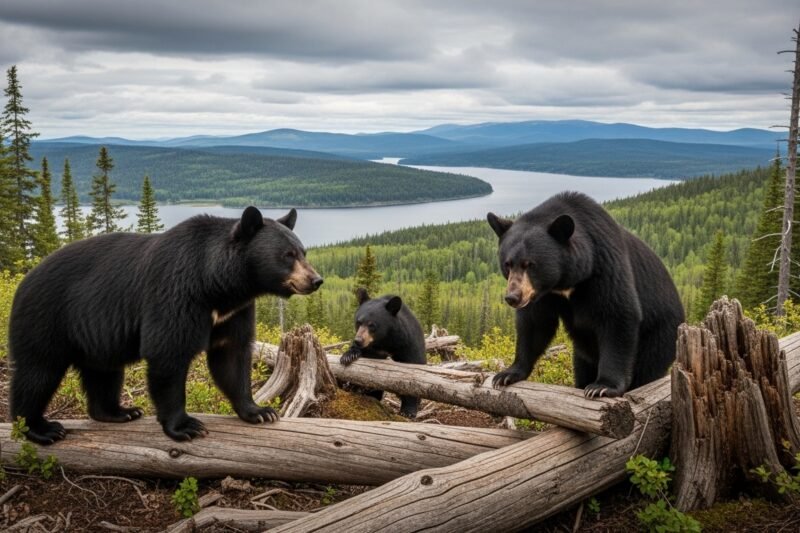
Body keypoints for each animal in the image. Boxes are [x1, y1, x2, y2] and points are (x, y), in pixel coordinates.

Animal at [9, 206, 323, 444]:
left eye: (303, 251)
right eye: (288, 255)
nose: (316, 279)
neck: (219, 286)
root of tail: (23, 281)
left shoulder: (235, 312)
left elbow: (231, 355)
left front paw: (259, 411)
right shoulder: (177, 293)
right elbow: (168, 353)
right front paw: (184, 426)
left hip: (96, 337)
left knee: (105, 372)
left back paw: (118, 412)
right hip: (45, 320)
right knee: (37, 373)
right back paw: (39, 428)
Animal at [339, 288, 427, 417]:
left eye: (372, 325)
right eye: (358, 322)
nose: (358, 340)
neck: (385, 341)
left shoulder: (408, 344)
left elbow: (414, 373)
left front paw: (408, 411)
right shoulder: (371, 349)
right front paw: (348, 356)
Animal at [486, 191, 684, 398]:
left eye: (530, 264)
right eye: (508, 264)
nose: (512, 297)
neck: (566, 281)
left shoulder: (605, 266)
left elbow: (618, 315)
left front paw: (603, 386)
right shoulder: (542, 295)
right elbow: (535, 324)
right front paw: (507, 374)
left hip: (660, 334)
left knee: (647, 368)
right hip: (582, 354)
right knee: (582, 368)